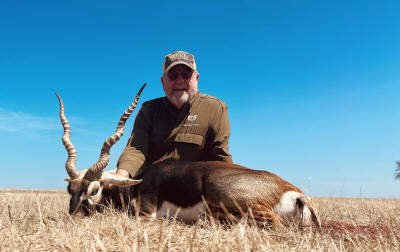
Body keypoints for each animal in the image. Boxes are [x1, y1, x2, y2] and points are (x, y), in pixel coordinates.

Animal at [56, 83, 320, 227]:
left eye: (94, 190)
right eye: (70, 189)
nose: (73, 217)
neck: (135, 187)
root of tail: (294, 192)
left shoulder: (147, 214)